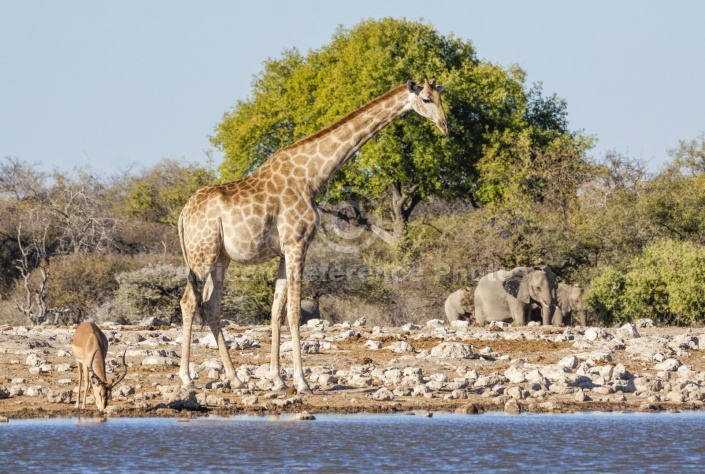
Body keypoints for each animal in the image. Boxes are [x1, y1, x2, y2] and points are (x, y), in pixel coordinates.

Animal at [177, 75, 446, 392]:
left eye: (441, 97)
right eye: (426, 99)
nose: (444, 126)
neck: (312, 177)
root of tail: (183, 215)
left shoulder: (285, 250)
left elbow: (276, 310)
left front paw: (278, 379)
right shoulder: (297, 243)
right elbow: (294, 312)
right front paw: (302, 381)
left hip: (220, 257)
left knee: (211, 306)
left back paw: (235, 379)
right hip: (202, 253)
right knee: (189, 302)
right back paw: (187, 378)